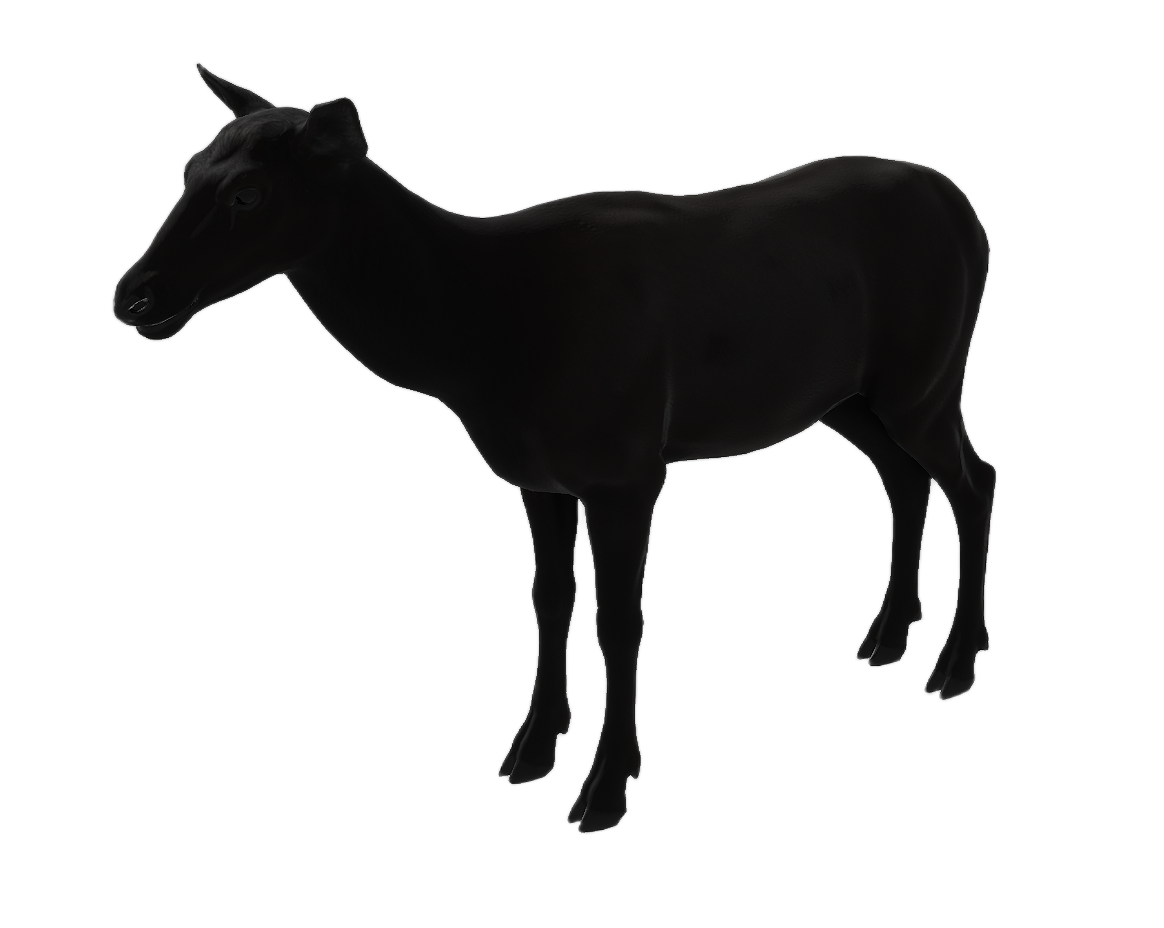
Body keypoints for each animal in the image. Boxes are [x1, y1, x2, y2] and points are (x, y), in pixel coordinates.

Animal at [110, 62, 998, 834]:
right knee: (903, 477)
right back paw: (888, 635)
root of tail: (968, 212)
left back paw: (955, 663)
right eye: (187, 168)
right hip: (851, 397)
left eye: (247, 191)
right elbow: (548, 598)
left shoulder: (628, 466)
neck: (481, 357)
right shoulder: (534, 474)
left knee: (973, 476)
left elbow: (620, 618)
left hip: (928, 371)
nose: (133, 296)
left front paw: (607, 788)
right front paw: (532, 748)